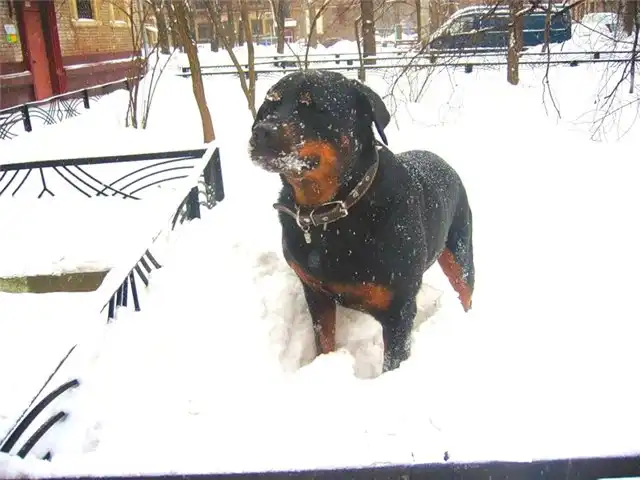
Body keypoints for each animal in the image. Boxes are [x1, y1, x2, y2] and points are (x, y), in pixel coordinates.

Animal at [249, 70, 474, 372]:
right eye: (269, 105)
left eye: (314, 106)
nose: (261, 130)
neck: (333, 211)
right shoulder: (315, 293)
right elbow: (324, 340)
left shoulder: (398, 309)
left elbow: (392, 362)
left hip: (460, 249)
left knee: (465, 289)